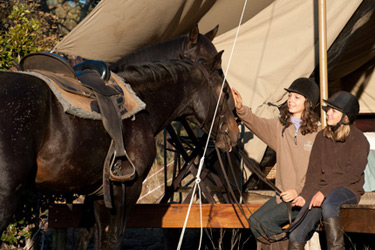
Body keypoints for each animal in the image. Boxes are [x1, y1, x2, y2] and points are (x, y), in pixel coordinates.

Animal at [0, 50, 238, 248]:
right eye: (226, 91)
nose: (234, 133)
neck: (143, 104)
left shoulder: (95, 194)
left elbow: (87, 237)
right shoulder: (125, 189)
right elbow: (112, 239)